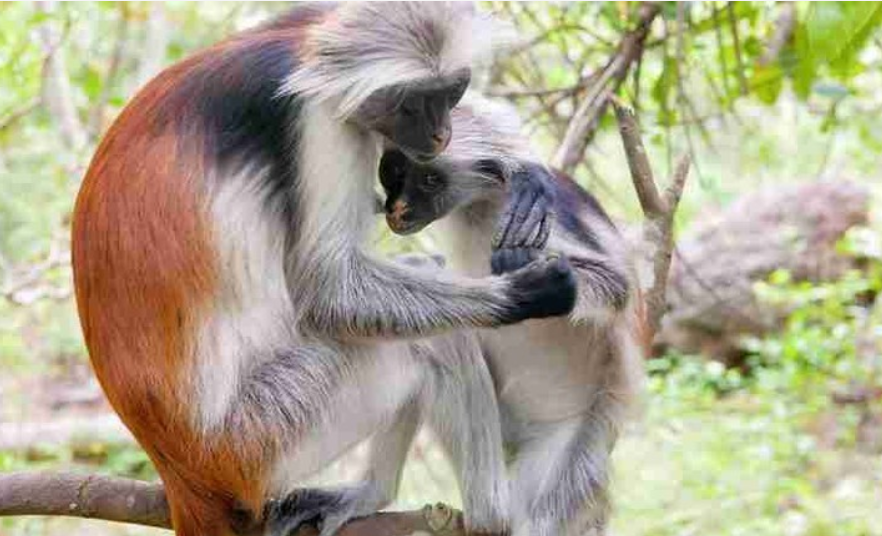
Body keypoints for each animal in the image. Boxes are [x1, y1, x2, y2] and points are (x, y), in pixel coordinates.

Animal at [72, 6, 576, 536]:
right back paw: (490, 515)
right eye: (414, 103)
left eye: (452, 92)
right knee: (433, 340)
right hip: (264, 435)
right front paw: (524, 293)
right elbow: (329, 292)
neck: (301, 53)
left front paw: (518, 162)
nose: (442, 135)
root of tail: (182, 473)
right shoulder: (315, 119)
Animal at [376, 97, 640, 536]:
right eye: (396, 172)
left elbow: (617, 285)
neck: (481, 204)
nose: (397, 208)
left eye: (429, 180)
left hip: (570, 439)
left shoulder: (543, 220)